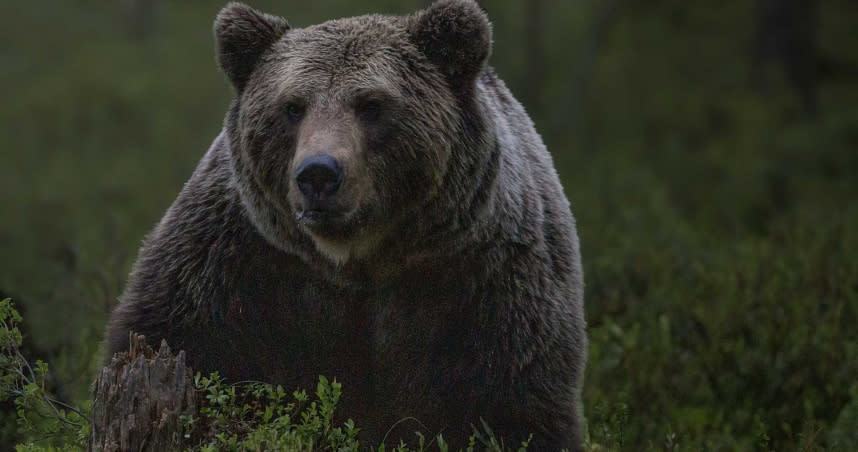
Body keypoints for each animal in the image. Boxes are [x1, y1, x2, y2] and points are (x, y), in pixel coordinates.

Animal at [103, 1, 584, 450]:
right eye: (292, 106)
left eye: (371, 105)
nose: (318, 174)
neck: (356, 261)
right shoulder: (235, 264)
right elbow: (182, 342)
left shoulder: (484, 281)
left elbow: (510, 405)